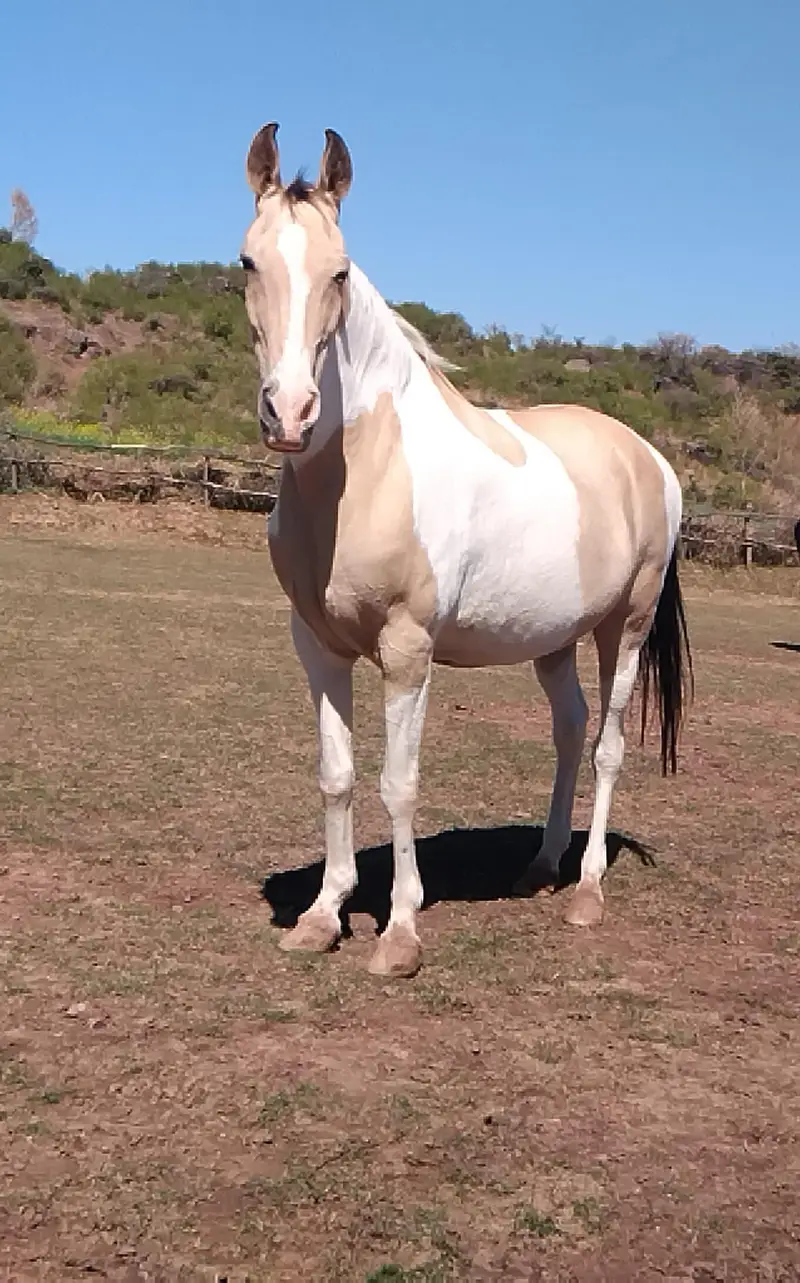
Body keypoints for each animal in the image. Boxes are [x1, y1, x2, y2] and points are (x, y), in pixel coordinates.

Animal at [240, 122, 693, 978]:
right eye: (248, 263)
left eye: (339, 271)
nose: (291, 412)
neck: (367, 468)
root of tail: (649, 458)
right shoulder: (317, 647)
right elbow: (337, 776)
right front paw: (321, 914)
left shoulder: (407, 650)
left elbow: (400, 783)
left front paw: (400, 933)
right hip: (554, 639)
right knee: (570, 729)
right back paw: (541, 867)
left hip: (624, 627)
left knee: (610, 746)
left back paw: (587, 891)